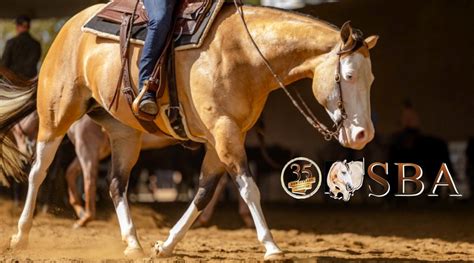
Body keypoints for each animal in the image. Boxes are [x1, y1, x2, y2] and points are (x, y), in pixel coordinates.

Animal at [0, 3, 378, 260]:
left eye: (371, 78)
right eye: (348, 76)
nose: (363, 135)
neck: (243, 53)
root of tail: (68, 29)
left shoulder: (221, 139)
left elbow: (203, 192)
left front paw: (165, 244)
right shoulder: (225, 134)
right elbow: (249, 188)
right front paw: (271, 245)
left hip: (124, 135)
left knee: (116, 184)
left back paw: (132, 242)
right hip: (57, 116)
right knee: (38, 172)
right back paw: (21, 236)